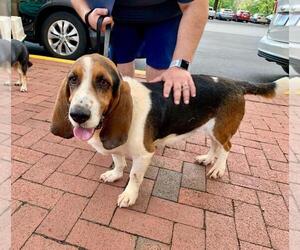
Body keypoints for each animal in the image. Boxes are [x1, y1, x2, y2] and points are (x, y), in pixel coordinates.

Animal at [50, 54, 290, 207]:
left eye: (103, 82)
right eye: (73, 79)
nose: (78, 115)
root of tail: (236, 83)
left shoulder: (144, 154)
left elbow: (134, 175)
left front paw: (129, 196)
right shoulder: (116, 147)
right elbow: (119, 161)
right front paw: (115, 175)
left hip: (221, 128)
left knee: (227, 147)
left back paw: (218, 169)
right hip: (211, 128)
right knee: (216, 146)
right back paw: (207, 159)